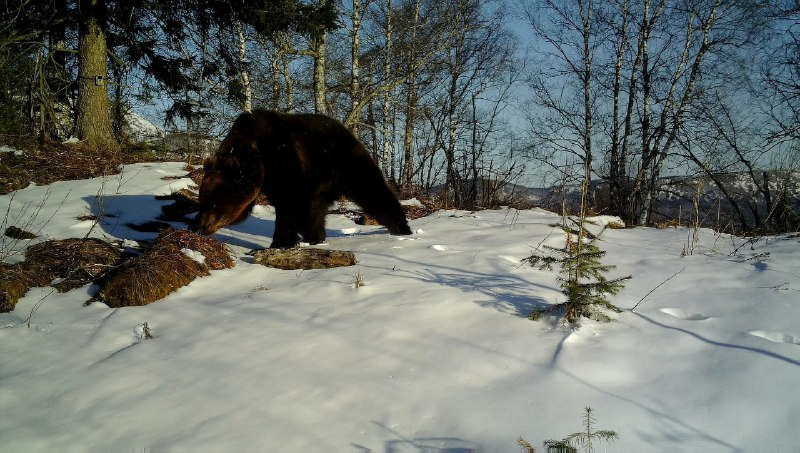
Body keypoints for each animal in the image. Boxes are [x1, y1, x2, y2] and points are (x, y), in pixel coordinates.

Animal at [190, 109, 410, 247]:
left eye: (213, 203)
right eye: (202, 200)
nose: (197, 226)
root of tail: (347, 131)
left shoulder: (286, 162)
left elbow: (289, 206)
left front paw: (279, 242)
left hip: (346, 164)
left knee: (374, 191)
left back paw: (402, 228)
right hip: (320, 183)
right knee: (317, 211)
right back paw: (316, 238)